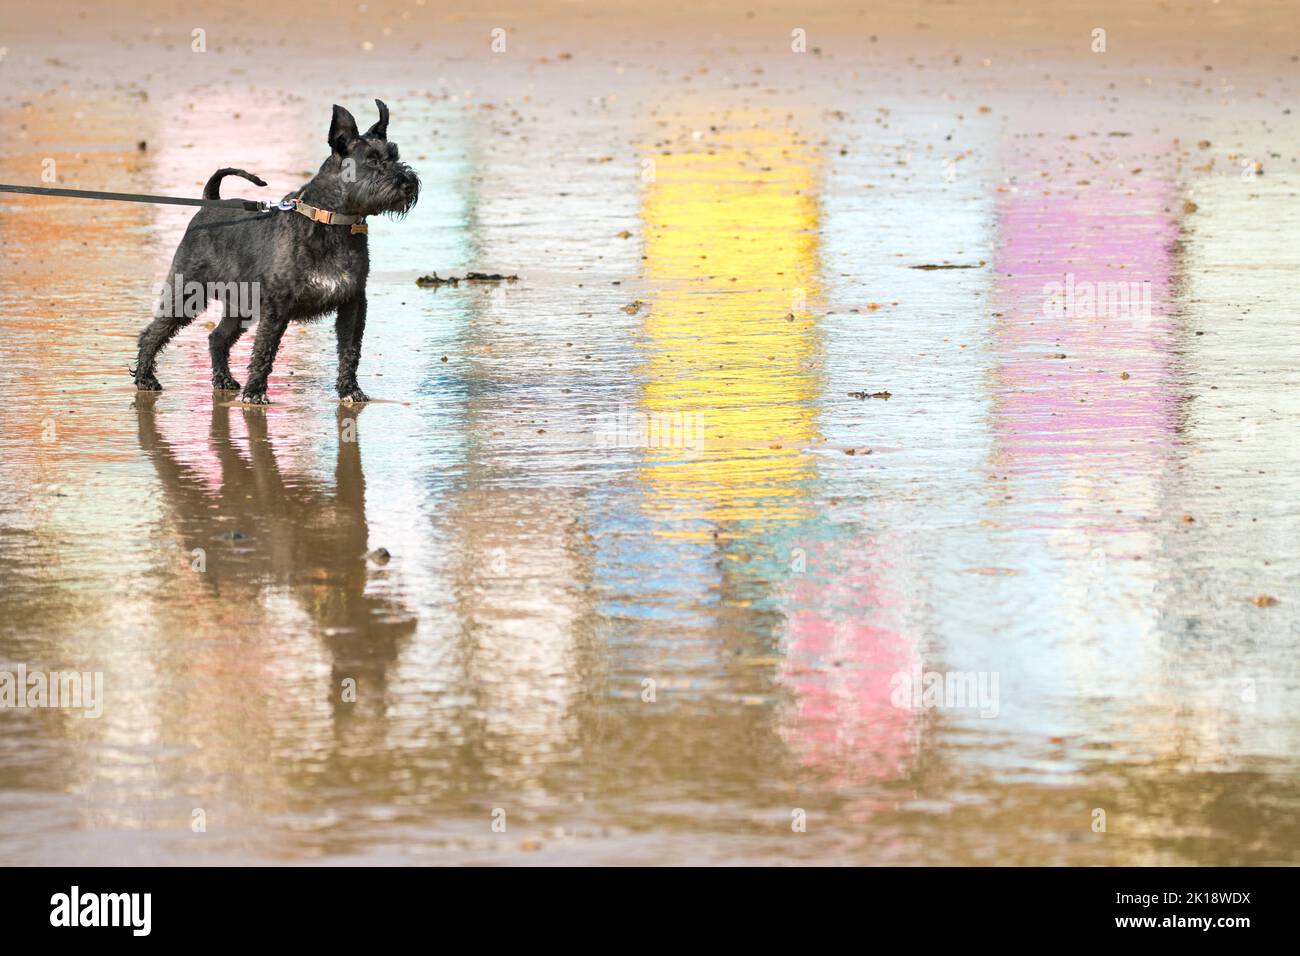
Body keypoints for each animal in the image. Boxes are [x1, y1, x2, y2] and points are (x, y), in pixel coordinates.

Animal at [132, 100, 418, 403]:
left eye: (395, 155)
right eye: (372, 160)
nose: (409, 183)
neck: (330, 221)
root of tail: (209, 204)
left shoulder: (353, 303)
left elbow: (350, 350)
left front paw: (350, 390)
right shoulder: (277, 307)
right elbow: (264, 350)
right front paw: (255, 394)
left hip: (239, 305)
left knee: (217, 337)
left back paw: (224, 380)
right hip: (187, 293)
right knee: (153, 333)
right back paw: (145, 378)